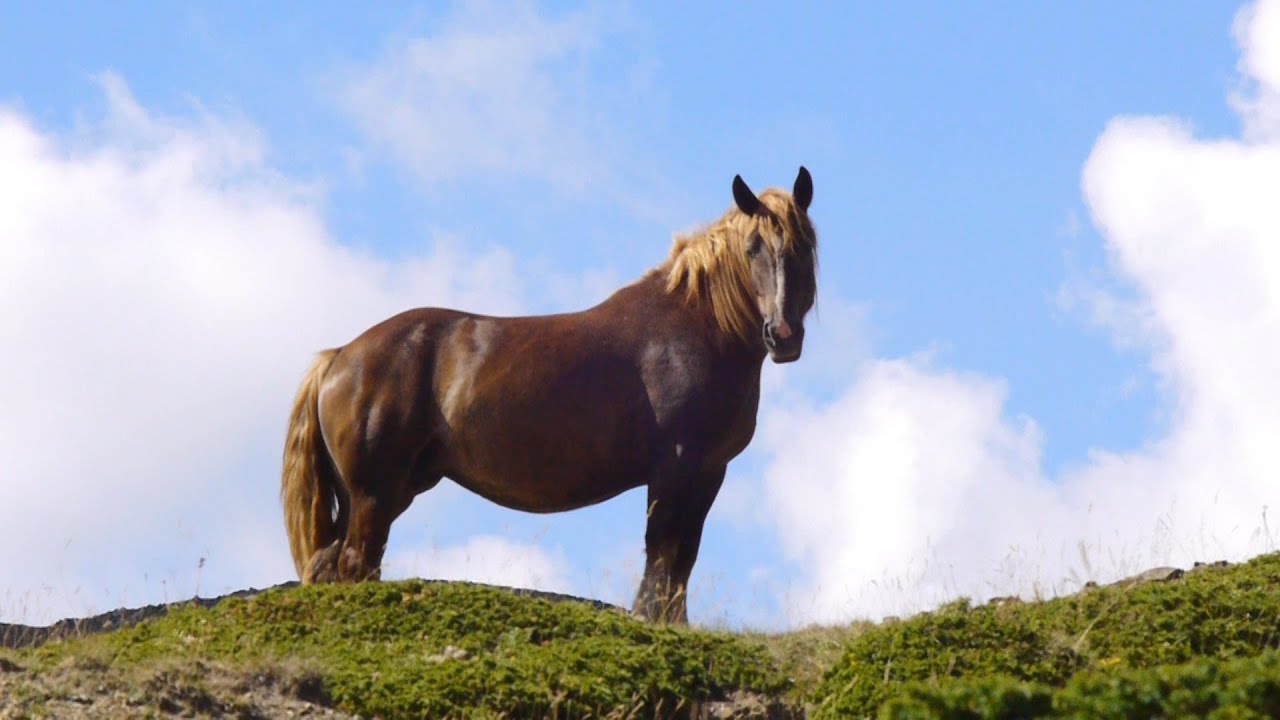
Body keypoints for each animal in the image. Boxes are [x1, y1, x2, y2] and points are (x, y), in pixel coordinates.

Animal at [281, 167, 819, 624]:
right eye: (752, 247)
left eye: (803, 247)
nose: (783, 334)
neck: (694, 329)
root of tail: (339, 356)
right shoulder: (675, 468)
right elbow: (663, 554)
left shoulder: (709, 472)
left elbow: (683, 558)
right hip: (374, 493)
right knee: (355, 563)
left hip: (380, 492)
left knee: (330, 563)